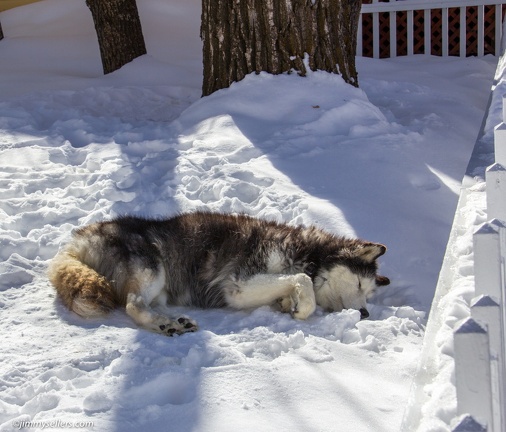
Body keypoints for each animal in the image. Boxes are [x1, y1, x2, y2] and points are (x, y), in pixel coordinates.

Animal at [48, 211, 392, 336]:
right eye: (359, 284)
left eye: (369, 294)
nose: (364, 313)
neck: (306, 252)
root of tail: (79, 237)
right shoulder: (237, 286)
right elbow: (302, 281)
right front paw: (301, 308)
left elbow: (290, 286)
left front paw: (287, 303)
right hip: (153, 269)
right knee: (133, 304)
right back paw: (165, 324)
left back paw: (172, 323)